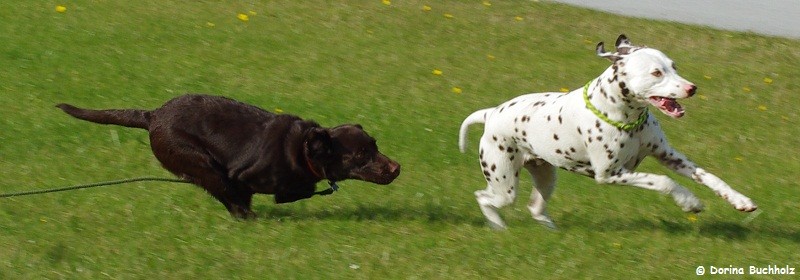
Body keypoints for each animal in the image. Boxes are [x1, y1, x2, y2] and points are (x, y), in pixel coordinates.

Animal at [57, 94, 400, 219]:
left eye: (375, 145)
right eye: (361, 154)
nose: (397, 168)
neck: (303, 149)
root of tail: (152, 115)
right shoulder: (240, 177)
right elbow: (288, 192)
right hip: (202, 163)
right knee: (225, 192)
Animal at [460, 34, 760, 229]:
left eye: (674, 66)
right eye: (656, 73)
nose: (692, 88)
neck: (629, 120)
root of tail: (491, 113)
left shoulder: (668, 156)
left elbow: (710, 177)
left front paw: (740, 200)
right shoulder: (610, 174)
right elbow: (664, 182)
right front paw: (689, 201)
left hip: (545, 178)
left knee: (534, 208)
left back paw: (550, 230)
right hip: (504, 185)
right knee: (483, 197)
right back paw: (498, 226)